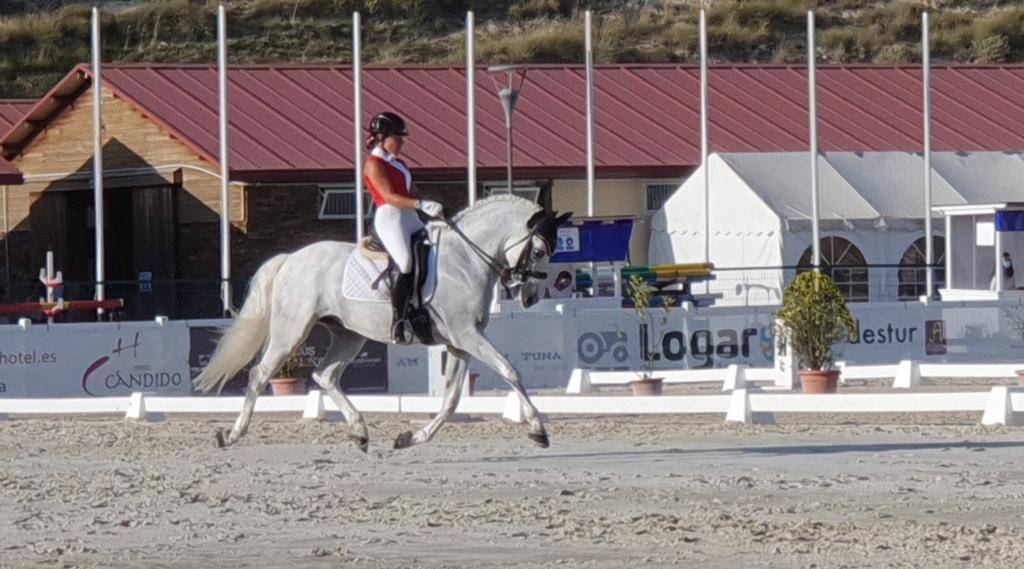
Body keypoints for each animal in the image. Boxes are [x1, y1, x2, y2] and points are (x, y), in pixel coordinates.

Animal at [193, 195, 571, 452]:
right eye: (539, 251)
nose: (530, 298)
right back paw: (232, 434)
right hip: (291, 331)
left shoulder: (459, 343)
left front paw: (412, 437)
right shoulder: (466, 335)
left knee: (325, 375)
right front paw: (538, 430)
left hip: (348, 335)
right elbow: (510, 371)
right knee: (260, 374)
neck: (465, 260)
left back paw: (360, 432)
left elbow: (451, 399)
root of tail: (290, 259)